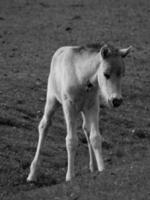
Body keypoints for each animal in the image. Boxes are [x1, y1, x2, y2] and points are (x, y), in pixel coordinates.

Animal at [27, 43, 132, 182]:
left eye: (122, 74)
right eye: (106, 74)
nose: (116, 101)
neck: (82, 78)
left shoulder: (93, 106)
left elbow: (95, 137)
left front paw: (102, 169)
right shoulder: (69, 107)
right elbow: (71, 140)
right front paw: (70, 176)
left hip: (83, 109)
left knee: (86, 129)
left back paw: (92, 167)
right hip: (52, 100)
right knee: (44, 125)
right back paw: (32, 173)